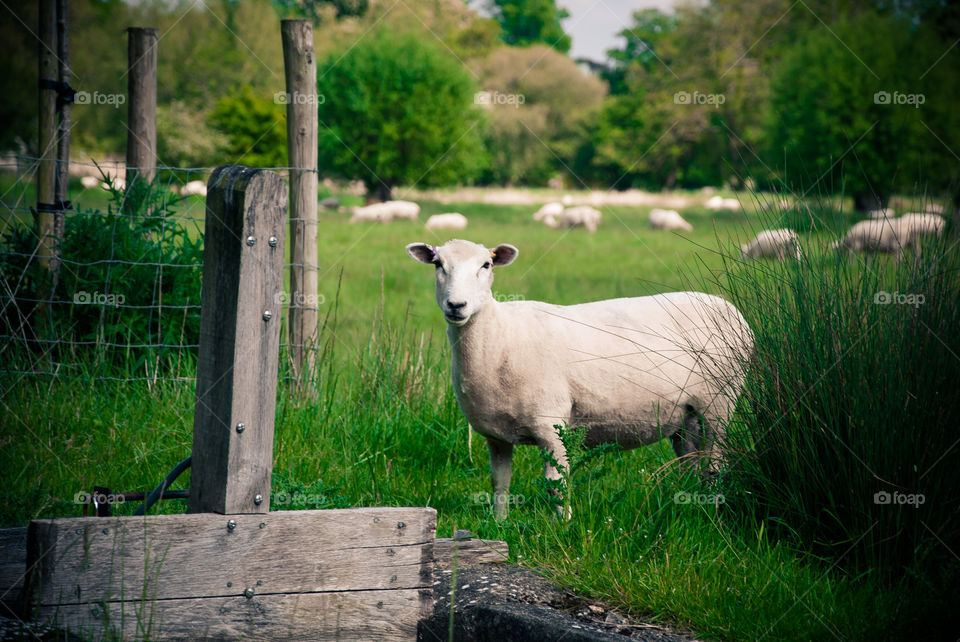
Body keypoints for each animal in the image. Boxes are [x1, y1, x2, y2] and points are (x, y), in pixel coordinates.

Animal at [406, 239, 754, 519]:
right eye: (437, 264)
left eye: (486, 264)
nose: (456, 305)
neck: (500, 336)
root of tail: (730, 308)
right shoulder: (496, 437)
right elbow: (499, 483)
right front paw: (499, 524)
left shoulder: (551, 424)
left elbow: (556, 484)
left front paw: (563, 526)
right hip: (686, 415)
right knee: (691, 463)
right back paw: (692, 509)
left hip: (721, 402)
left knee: (716, 463)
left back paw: (713, 514)